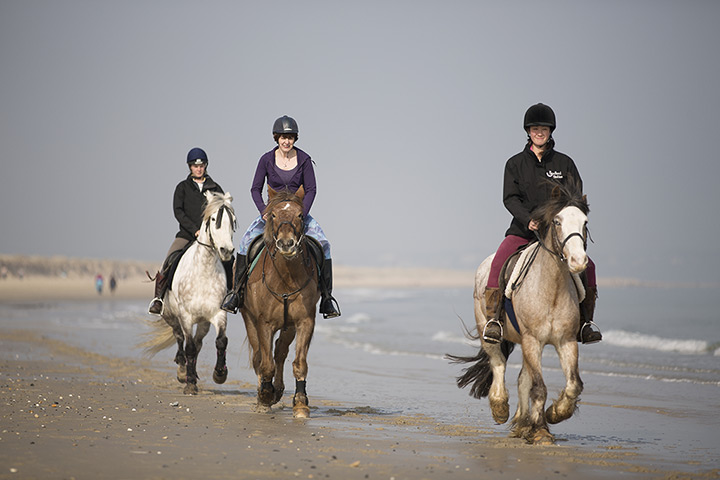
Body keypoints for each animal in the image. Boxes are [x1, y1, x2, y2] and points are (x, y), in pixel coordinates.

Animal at [142, 191, 236, 395]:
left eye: (233, 220)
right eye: (214, 219)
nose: (227, 251)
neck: (203, 271)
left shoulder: (218, 314)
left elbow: (221, 341)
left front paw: (220, 374)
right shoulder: (185, 316)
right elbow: (189, 347)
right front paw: (190, 383)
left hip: (203, 323)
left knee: (198, 343)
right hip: (171, 317)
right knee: (180, 340)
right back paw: (182, 371)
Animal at [241, 186, 321, 418]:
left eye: (300, 215)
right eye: (273, 215)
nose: (286, 244)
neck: (285, 278)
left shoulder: (304, 322)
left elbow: (299, 362)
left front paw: (301, 403)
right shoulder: (263, 323)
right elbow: (265, 363)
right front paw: (264, 397)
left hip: (288, 327)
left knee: (280, 352)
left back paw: (278, 390)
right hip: (249, 319)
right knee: (260, 357)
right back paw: (265, 393)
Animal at [449, 181, 590, 445]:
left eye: (585, 222)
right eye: (557, 221)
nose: (578, 261)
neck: (552, 288)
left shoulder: (565, 341)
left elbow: (573, 384)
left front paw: (553, 415)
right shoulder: (533, 340)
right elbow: (539, 387)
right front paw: (542, 430)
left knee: (523, 378)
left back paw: (523, 424)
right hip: (490, 331)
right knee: (498, 363)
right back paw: (500, 408)